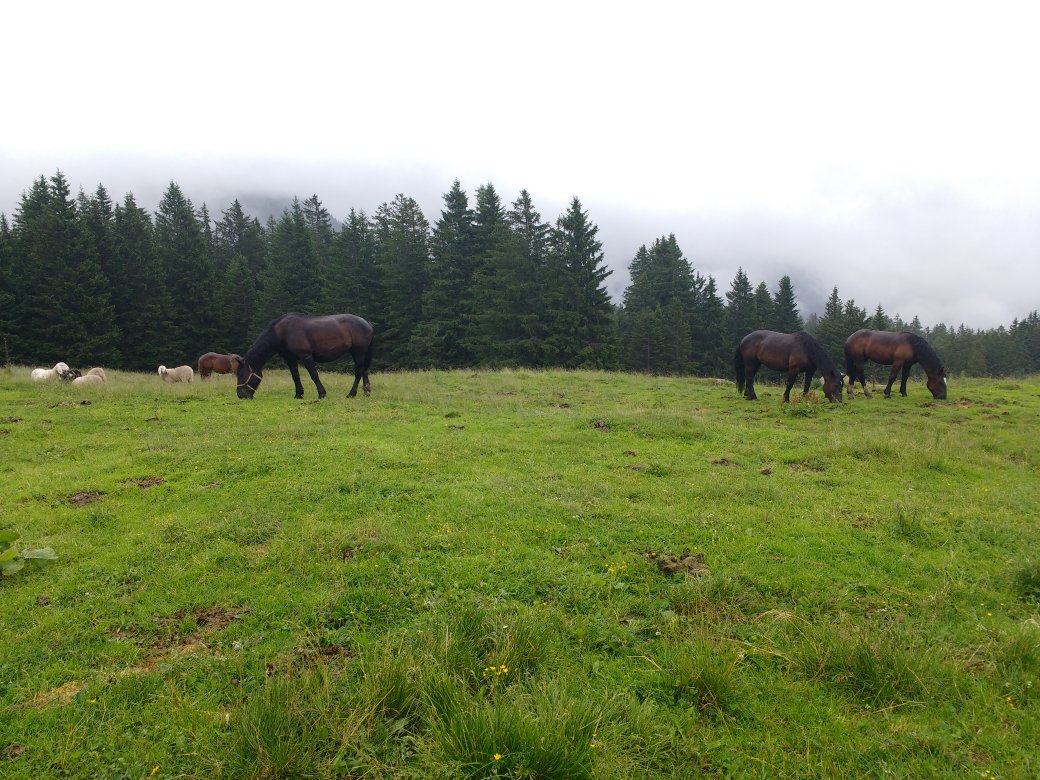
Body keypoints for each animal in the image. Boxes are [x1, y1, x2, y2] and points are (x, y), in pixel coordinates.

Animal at [235, 313, 374, 400]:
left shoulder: (306, 356)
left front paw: (322, 394)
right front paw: (298, 394)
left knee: (358, 372)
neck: (282, 332)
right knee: (364, 370)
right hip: (358, 353)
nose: (241, 395)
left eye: (241, 375)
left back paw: (351, 394)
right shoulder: (290, 358)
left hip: (359, 352)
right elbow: (295, 376)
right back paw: (366, 392)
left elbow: (314, 375)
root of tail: (367, 323)